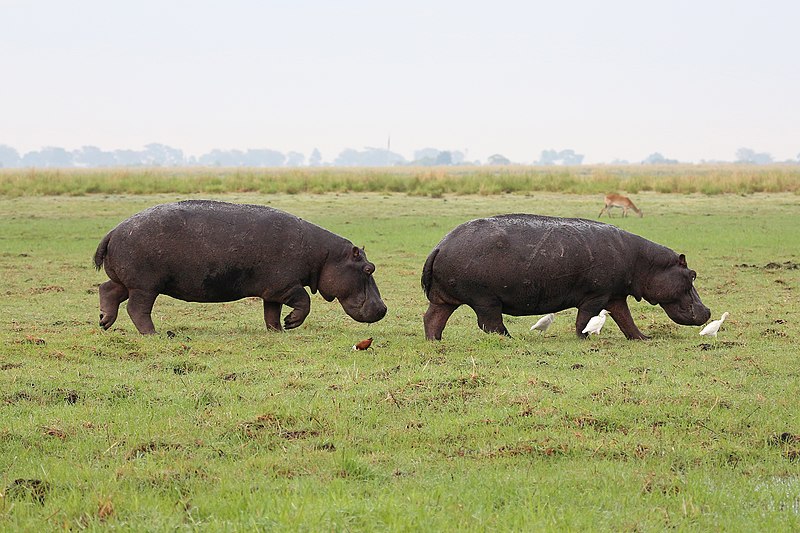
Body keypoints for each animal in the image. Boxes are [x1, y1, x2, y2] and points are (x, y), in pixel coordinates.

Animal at [94, 200, 388, 332]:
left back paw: (104, 322)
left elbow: (271, 313)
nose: (384, 308)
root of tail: (113, 231)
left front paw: (277, 331)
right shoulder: (286, 286)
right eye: (368, 269)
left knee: (108, 290)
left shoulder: (273, 291)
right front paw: (291, 324)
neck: (325, 256)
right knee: (137, 309)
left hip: (128, 281)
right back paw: (153, 334)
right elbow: (304, 302)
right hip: (145, 285)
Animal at [422, 214, 708, 338]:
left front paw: (643, 338)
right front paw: (583, 338)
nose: (708, 312)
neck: (646, 263)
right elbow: (585, 319)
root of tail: (440, 245)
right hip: (485, 300)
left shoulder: (615, 295)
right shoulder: (595, 296)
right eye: (692, 275)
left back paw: (435, 341)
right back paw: (511, 339)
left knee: (432, 319)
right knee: (490, 324)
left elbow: (626, 320)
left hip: (445, 300)